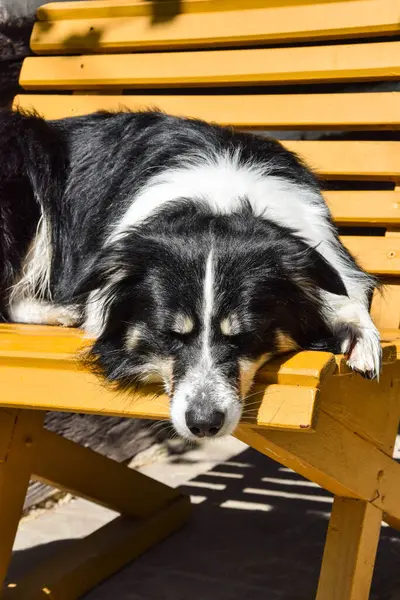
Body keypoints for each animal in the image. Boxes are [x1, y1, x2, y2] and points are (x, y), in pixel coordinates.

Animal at [0, 108, 382, 438]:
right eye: (169, 335)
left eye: (245, 337)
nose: (203, 425)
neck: (219, 202)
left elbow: (346, 295)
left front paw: (359, 336)